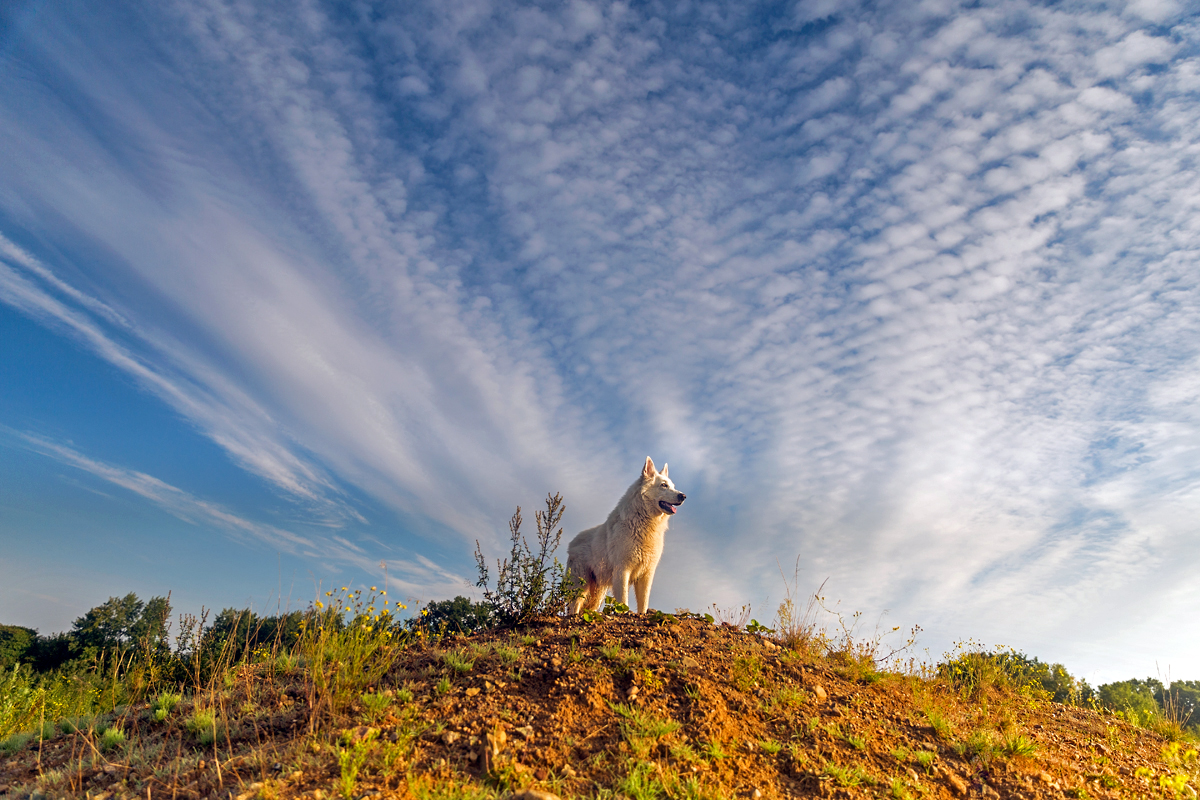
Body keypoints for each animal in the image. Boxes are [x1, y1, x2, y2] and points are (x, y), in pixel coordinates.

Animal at [564, 455, 686, 614]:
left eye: (672, 486)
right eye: (663, 485)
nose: (683, 496)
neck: (643, 524)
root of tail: (572, 541)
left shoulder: (646, 575)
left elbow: (643, 604)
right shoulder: (622, 571)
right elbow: (623, 601)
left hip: (598, 592)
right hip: (580, 584)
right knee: (574, 606)